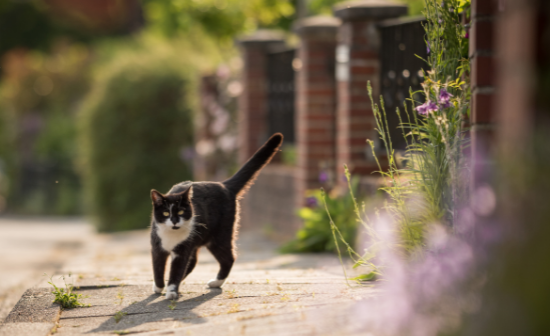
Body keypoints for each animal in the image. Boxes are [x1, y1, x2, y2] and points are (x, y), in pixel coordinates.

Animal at [149, 133, 282, 300]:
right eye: (166, 213)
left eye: (180, 212)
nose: (174, 221)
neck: (171, 235)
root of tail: (224, 185)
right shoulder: (157, 246)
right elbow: (158, 267)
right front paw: (159, 287)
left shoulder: (183, 249)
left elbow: (177, 269)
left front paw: (171, 290)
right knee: (193, 261)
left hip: (219, 236)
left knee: (228, 258)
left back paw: (216, 282)